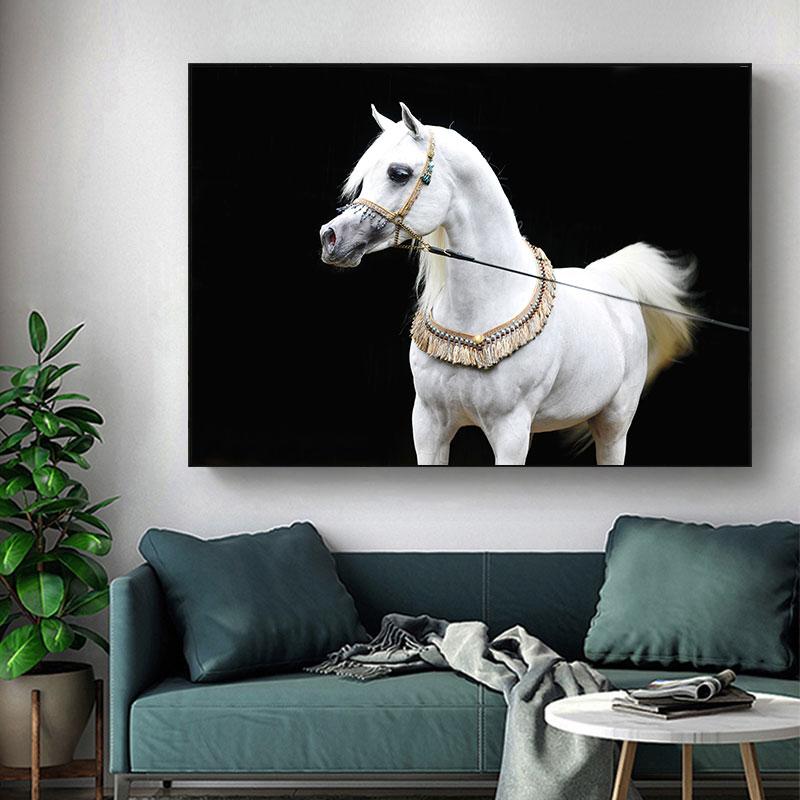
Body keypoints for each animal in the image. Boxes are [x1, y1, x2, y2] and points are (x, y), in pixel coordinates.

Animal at [319, 102, 696, 465]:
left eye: (399, 173)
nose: (331, 237)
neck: (483, 307)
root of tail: (607, 279)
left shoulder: (509, 431)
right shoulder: (428, 425)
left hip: (613, 423)